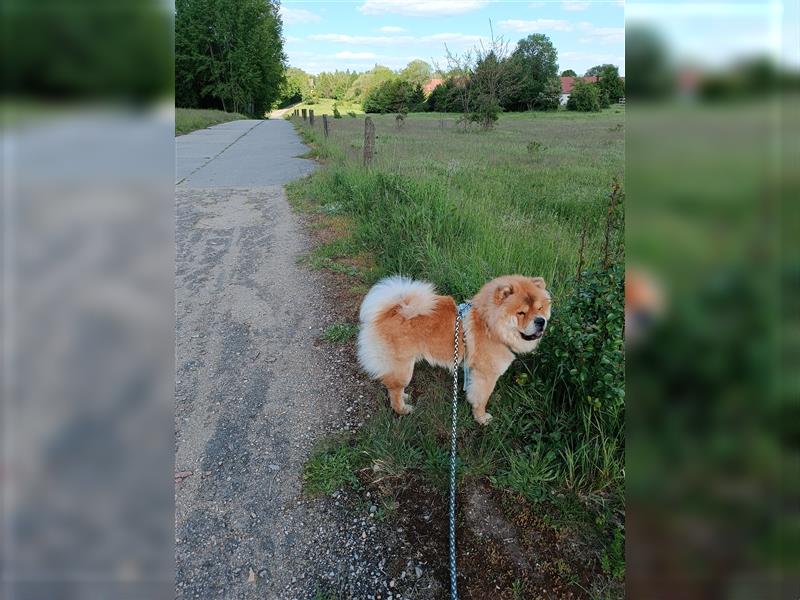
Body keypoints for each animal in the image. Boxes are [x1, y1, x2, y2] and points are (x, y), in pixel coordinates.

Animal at [356, 274, 552, 424]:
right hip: (403, 367)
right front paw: (482, 419)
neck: (490, 326)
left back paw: (404, 397)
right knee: (394, 390)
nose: (540, 321)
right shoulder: (486, 375)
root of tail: (391, 310)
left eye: (540, 308)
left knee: (393, 387)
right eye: (521, 313)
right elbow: (482, 399)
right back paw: (403, 409)